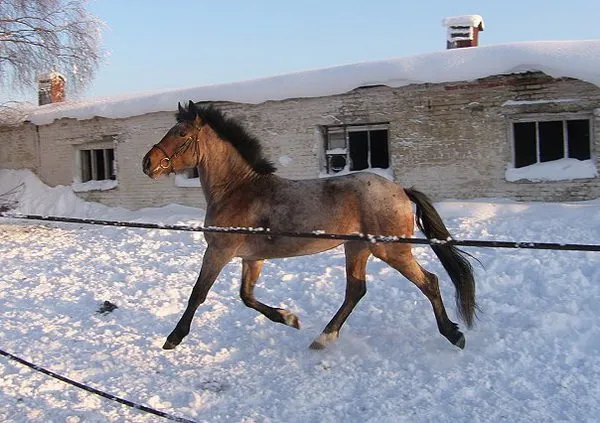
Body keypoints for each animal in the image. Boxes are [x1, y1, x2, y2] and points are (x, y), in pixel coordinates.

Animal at [143, 102, 476, 352]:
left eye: (181, 133)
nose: (147, 163)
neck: (237, 190)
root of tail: (401, 190)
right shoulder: (252, 258)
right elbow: (246, 296)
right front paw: (289, 318)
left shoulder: (219, 251)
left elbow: (198, 293)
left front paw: (173, 338)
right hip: (357, 247)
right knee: (356, 290)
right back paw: (322, 338)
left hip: (390, 249)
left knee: (429, 282)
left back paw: (454, 334)